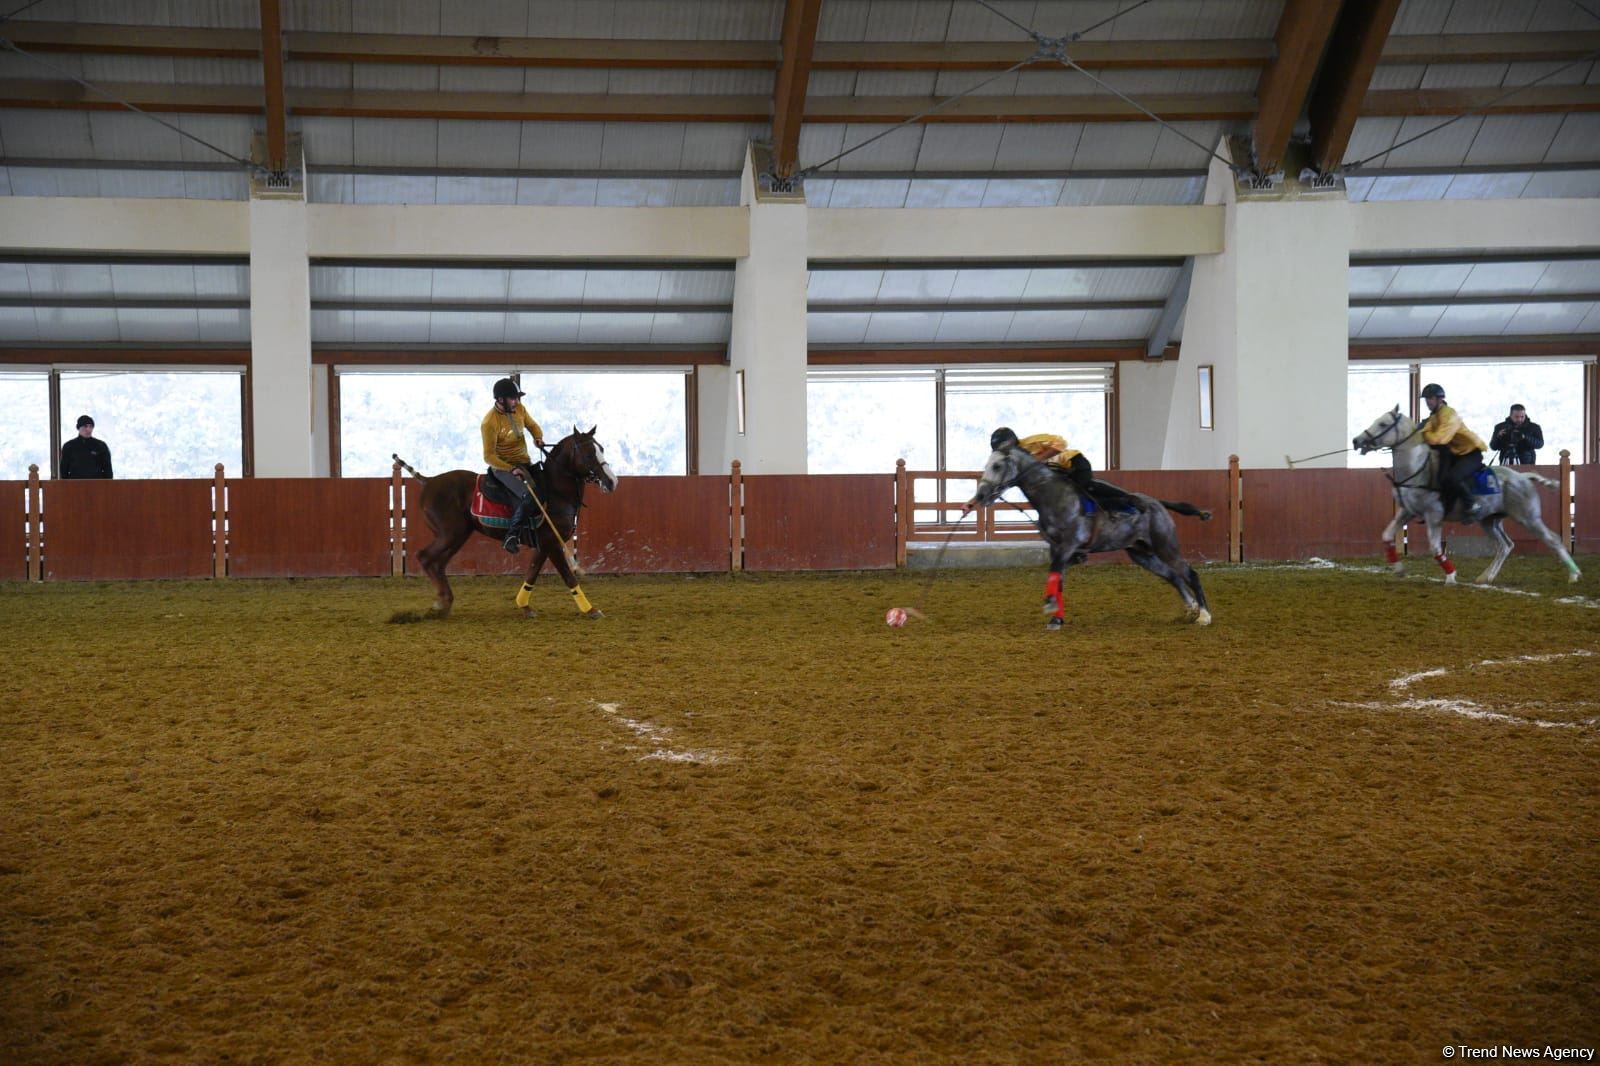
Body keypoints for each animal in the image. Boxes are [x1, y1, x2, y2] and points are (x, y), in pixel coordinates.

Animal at [393, 428, 617, 617]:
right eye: (589, 454)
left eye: (601, 449)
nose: (612, 481)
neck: (555, 491)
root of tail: (429, 481)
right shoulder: (552, 543)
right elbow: (568, 576)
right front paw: (591, 610)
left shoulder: (543, 545)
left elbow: (532, 573)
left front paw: (525, 606)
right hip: (449, 534)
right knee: (425, 557)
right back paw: (441, 603)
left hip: (457, 536)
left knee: (437, 564)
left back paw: (444, 602)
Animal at [966, 444, 1216, 627]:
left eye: (997, 465)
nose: (981, 495)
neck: (1053, 495)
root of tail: (1158, 503)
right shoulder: (1056, 548)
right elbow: (1057, 578)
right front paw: (1057, 618)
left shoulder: (1067, 545)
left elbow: (1054, 573)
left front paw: (1050, 606)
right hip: (1141, 553)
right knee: (1173, 576)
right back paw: (1191, 609)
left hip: (1166, 546)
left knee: (1190, 574)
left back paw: (1204, 615)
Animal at [1356, 406, 1580, 585]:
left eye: (1383, 423)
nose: (1357, 440)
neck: (1418, 468)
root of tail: (1522, 476)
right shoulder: (1407, 511)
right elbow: (1387, 535)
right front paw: (1399, 569)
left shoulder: (1433, 515)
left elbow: (1435, 548)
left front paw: (1450, 576)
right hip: (1489, 521)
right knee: (1505, 546)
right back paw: (1486, 577)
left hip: (1528, 518)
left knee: (1553, 540)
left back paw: (1574, 575)